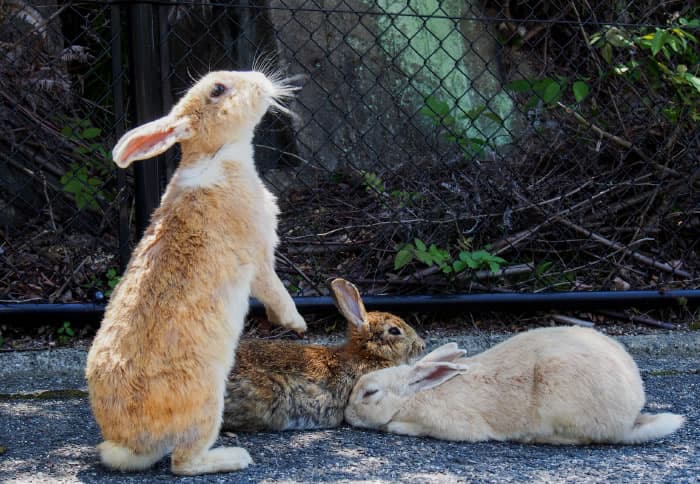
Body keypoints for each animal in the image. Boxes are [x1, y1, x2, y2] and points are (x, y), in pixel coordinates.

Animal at [85, 69, 307, 476]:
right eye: (217, 90)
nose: (259, 80)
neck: (217, 155)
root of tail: (132, 443)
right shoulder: (258, 258)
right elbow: (275, 289)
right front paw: (296, 324)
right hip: (206, 401)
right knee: (183, 462)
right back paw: (234, 458)